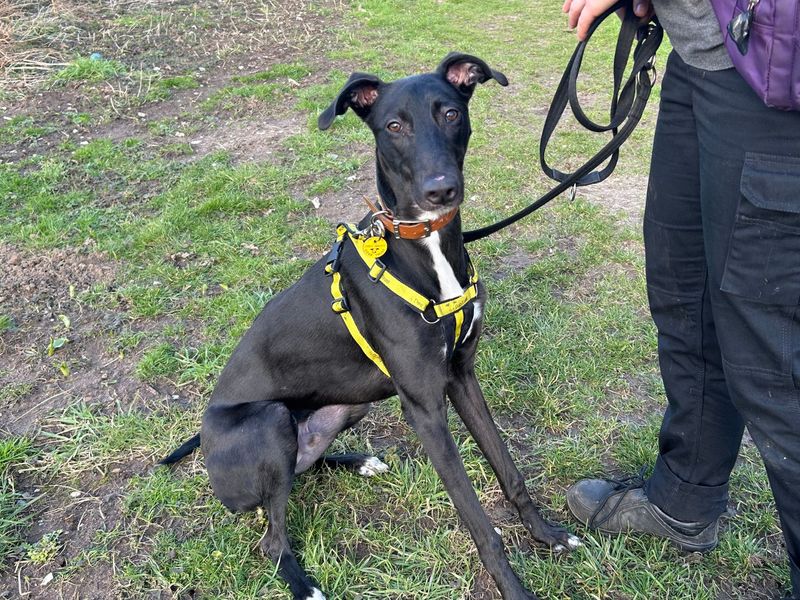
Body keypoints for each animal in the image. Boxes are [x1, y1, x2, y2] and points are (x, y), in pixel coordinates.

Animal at [158, 52, 580, 600]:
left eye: (450, 113)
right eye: (393, 126)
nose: (441, 190)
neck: (423, 252)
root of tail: (205, 445)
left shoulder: (462, 376)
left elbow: (509, 471)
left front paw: (548, 534)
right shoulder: (424, 406)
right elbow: (479, 522)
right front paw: (515, 588)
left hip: (345, 407)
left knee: (307, 464)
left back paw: (360, 461)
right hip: (269, 422)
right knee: (272, 536)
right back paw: (305, 585)